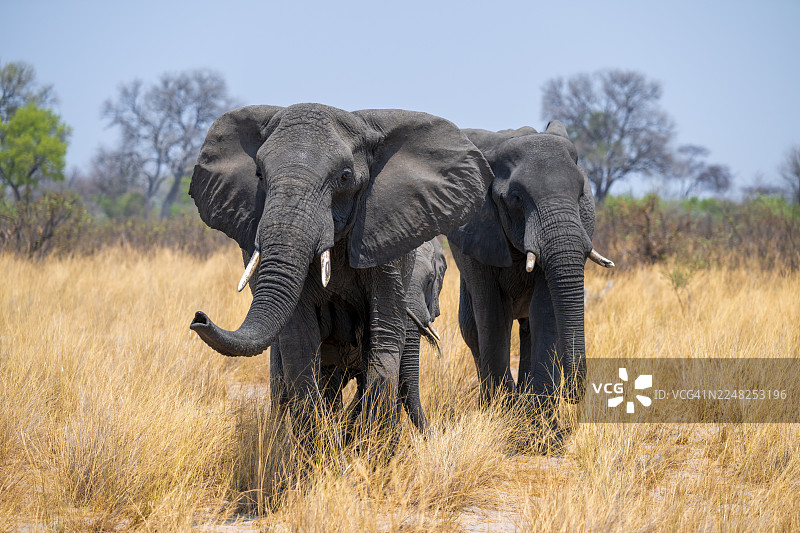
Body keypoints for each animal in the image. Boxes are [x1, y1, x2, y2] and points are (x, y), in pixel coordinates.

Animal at [188, 103, 490, 438]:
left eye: (345, 177)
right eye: (259, 175)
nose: (198, 317)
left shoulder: (385, 242)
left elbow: (384, 336)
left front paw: (375, 446)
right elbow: (299, 340)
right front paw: (317, 448)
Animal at [446, 121, 614, 420]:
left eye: (581, 194)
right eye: (516, 198)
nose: (571, 394)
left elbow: (545, 312)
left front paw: (539, 425)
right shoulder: (476, 233)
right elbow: (492, 314)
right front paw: (503, 413)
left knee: (527, 327)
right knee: (471, 327)